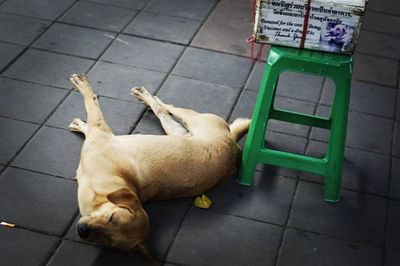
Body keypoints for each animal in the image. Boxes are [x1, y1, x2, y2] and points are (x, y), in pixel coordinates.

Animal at [69, 73, 250, 260]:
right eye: (112, 217)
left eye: (109, 242)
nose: (83, 231)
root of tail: (233, 144)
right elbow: (91, 106)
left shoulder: (99, 131)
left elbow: (91, 105)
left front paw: (83, 90)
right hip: (181, 128)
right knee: (167, 109)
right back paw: (147, 98)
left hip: (190, 123)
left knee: (164, 109)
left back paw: (146, 97)